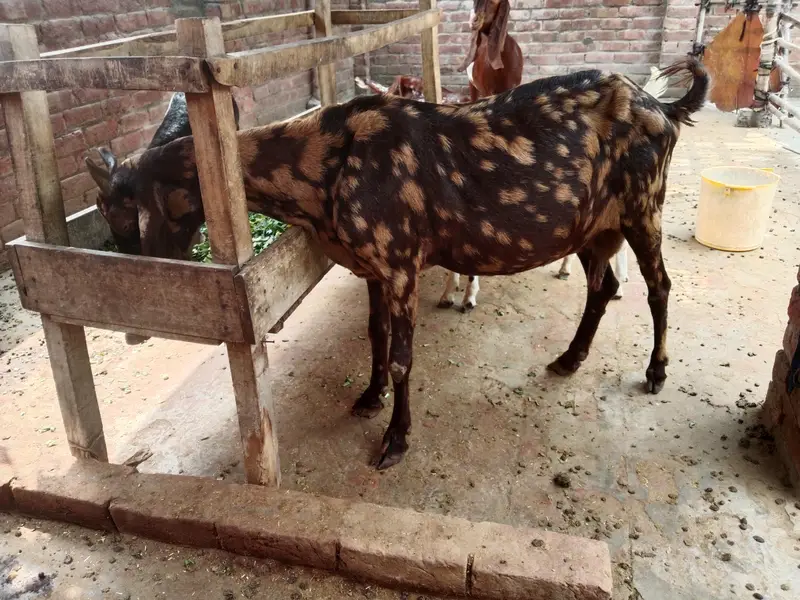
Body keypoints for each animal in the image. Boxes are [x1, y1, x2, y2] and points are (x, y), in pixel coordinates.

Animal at [87, 58, 709, 470]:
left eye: (118, 209)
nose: (134, 330)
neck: (326, 162)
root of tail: (667, 108)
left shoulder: (403, 260)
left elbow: (406, 358)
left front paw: (395, 441)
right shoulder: (371, 266)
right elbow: (374, 334)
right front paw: (368, 396)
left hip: (644, 204)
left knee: (659, 285)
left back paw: (656, 372)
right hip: (594, 226)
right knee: (602, 287)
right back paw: (568, 359)